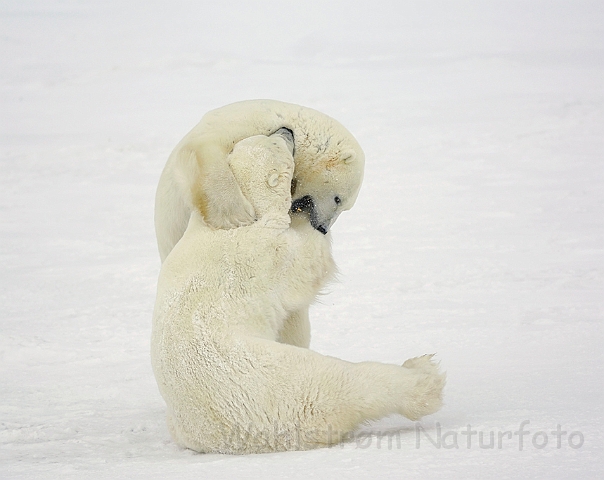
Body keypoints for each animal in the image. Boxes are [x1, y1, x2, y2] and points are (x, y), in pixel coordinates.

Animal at [149, 132, 446, 454]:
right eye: (278, 144)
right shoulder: (269, 253)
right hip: (278, 381)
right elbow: (307, 264)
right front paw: (309, 221)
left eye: (267, 136)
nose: (286, 130)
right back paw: (424, 377)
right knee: (345, 382)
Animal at [153, 97, 366, 262]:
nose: (323, 228)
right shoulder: (246, 124)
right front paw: (237, 216)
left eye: (345, 208)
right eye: (338, 199)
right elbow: (203, 148)